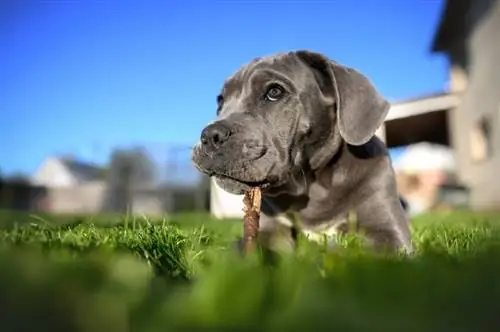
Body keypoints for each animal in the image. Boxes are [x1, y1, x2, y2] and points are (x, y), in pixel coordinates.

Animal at [189, 50, 412, 254]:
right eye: (220, 101)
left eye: (275, 92)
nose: (210, 135)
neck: (311, 186)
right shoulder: (270, 229)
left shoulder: (387, 230)